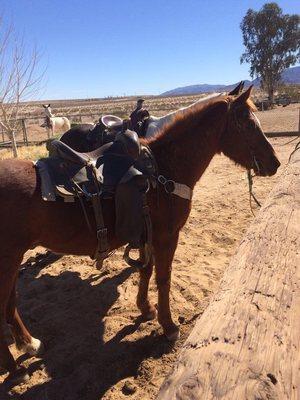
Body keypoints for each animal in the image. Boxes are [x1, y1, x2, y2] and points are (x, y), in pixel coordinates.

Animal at [0, 86, 278, 382]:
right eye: (248, 124)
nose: (275, 163)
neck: (163, 168)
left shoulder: (148, 234)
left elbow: (146, 269)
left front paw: (146, 309)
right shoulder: (167, 236)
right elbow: (163, 278)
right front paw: (168, 326)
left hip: (13, 261)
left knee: (10, 304)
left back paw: (29, 344)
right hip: (8, 260)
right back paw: (15, 369)